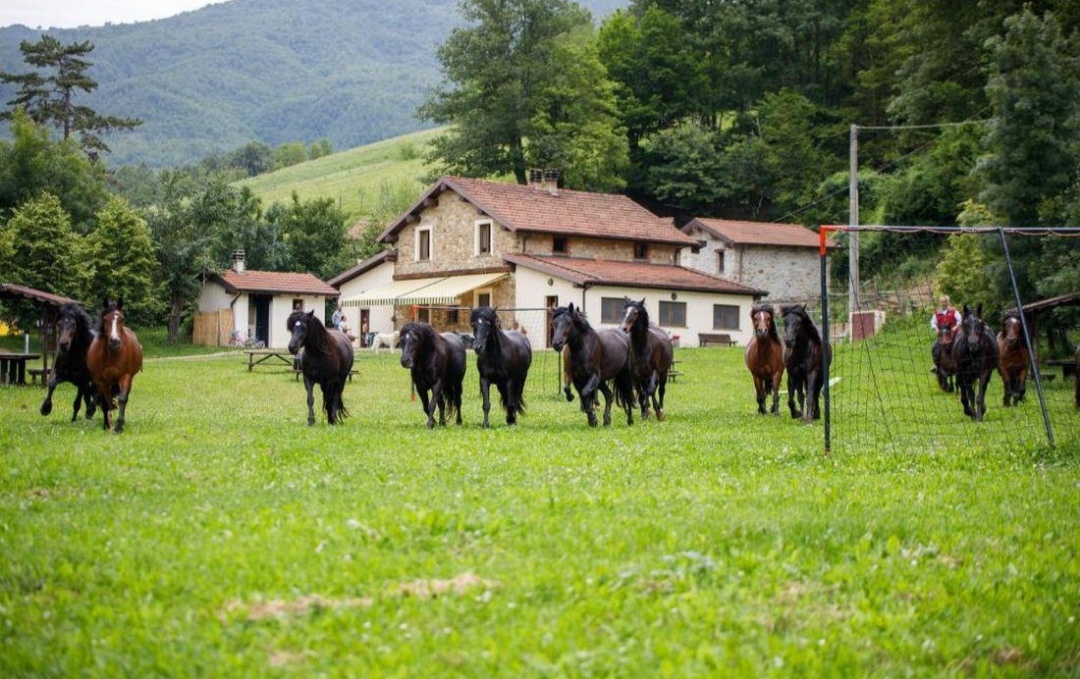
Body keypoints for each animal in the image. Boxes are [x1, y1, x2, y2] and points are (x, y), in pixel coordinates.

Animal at [86, 299, 143, 433]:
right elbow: (105, 401)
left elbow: (122, 399)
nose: (115, 341)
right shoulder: (100, 380)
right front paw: (108, 424)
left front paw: (118, 426)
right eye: (105, 319)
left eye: (122, 318)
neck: (112, 355)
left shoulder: (125, 376)